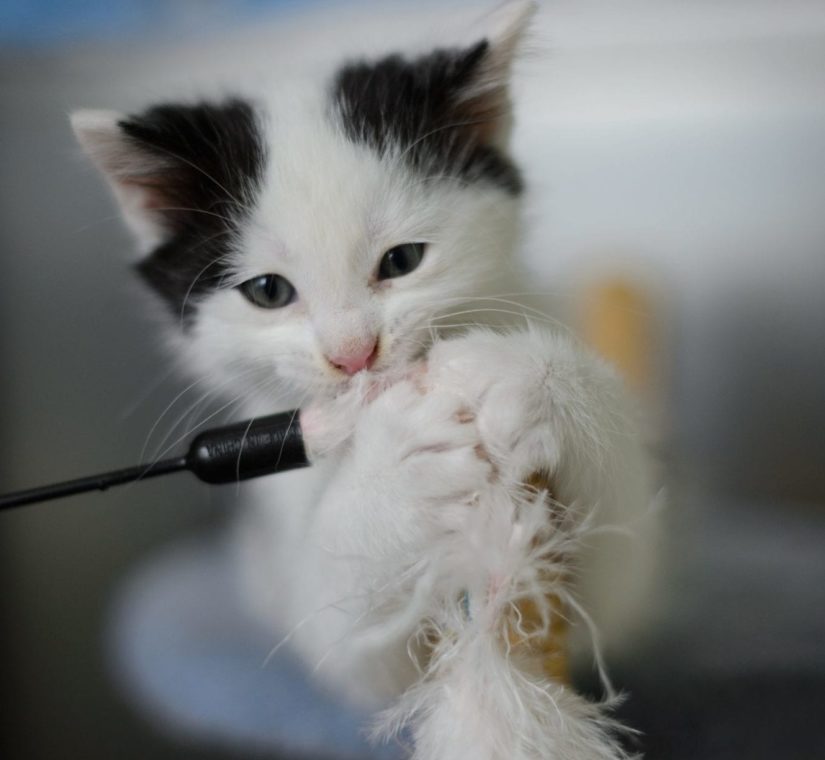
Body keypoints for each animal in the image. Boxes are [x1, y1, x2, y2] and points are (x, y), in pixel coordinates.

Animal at [71, 1, 652, 760]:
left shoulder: (614, 599)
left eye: (401, 261)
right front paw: (392, 475)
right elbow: (346, 637)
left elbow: (618, 576)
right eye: (267, 291)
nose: (353, 355)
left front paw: (525, 376)